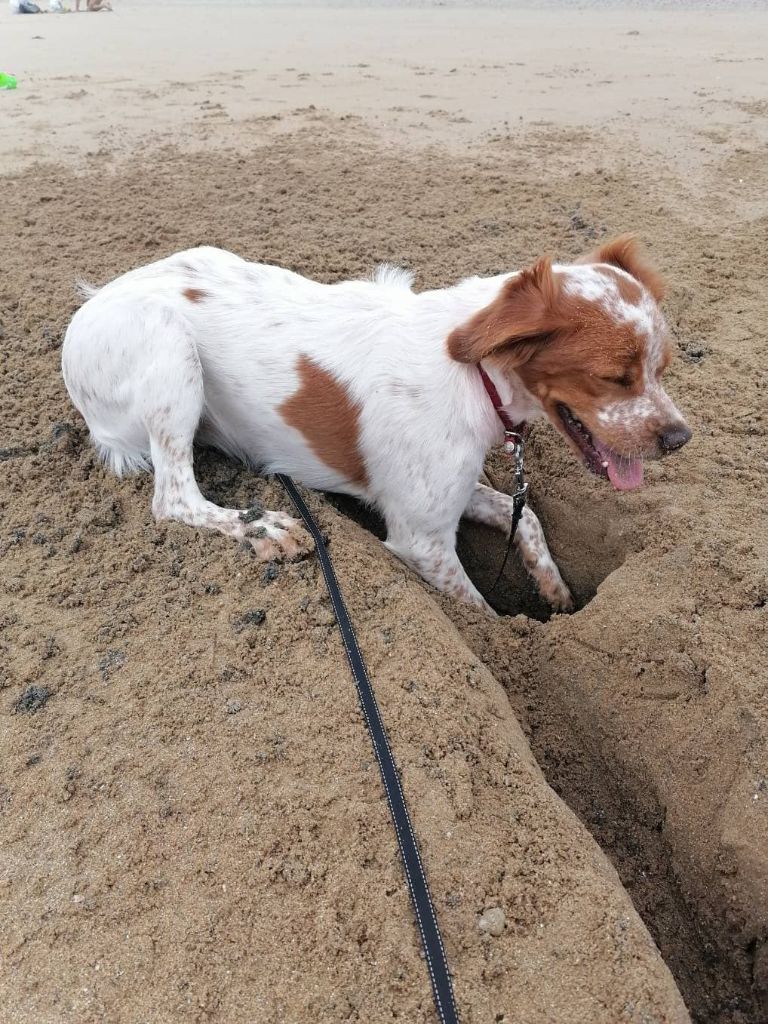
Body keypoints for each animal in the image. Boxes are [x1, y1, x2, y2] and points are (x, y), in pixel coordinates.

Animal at [63, 235, 696, 610]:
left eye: (662, 368)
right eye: (616, 377)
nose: (679, 437)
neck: (473, 373)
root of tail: (90, 305)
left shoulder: (444, 492)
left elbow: (528, 517)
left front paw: (555, 589)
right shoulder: (422, 540)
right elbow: (480, 609)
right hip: (168, 348)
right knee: (173, 496)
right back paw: (261, 526)